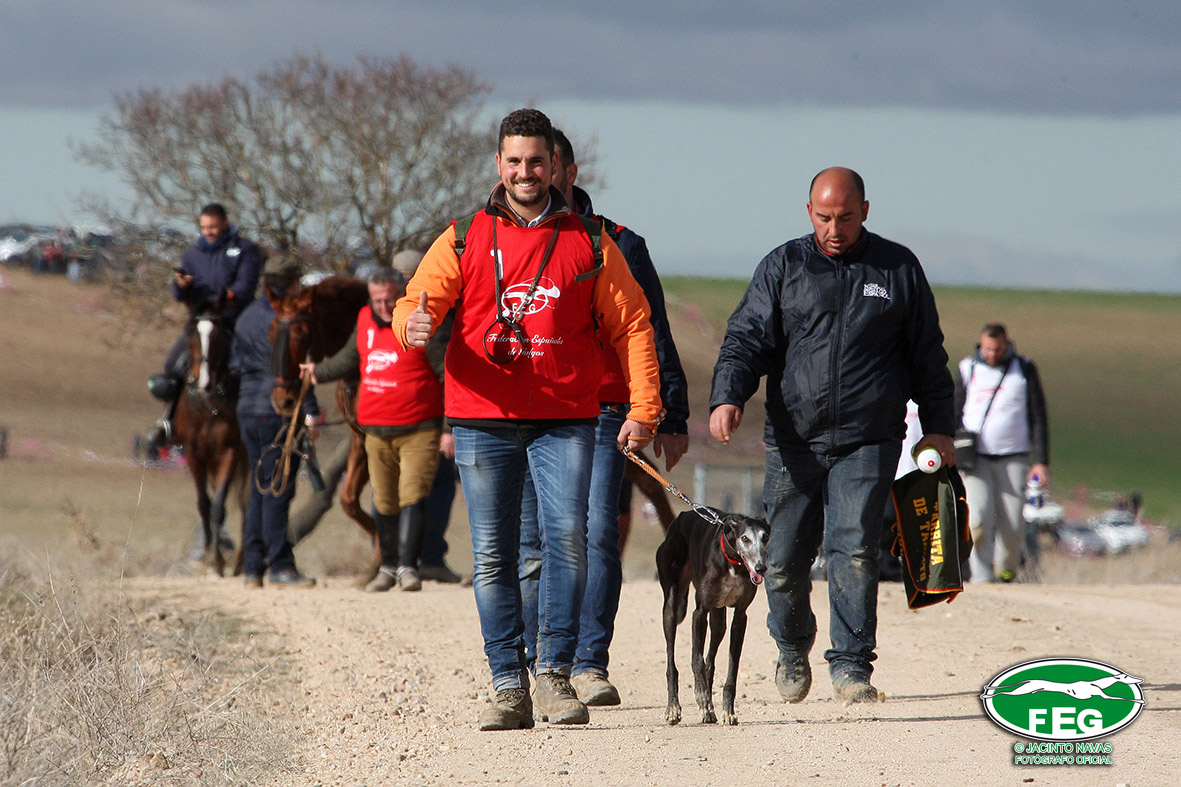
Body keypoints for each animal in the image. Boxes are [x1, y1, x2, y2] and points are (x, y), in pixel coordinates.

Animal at [172, 297, 245, 574]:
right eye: (190, 334)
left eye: (219, 336)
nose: (204, 382)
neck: (208, 405)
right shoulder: (194, 456)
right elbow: (204, 504)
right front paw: (209, 555)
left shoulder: (230, 452)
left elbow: (218, 507)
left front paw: (217, 559)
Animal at [266, 275, 377, 581]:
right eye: (270, 334)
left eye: (302, 335)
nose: (283, 400)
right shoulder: (361, 439)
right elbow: (349, 501)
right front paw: (377, 562)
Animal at [661, 508, 770, 723]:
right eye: (745, 538)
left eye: (765, 538)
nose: (760, 568)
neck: (733, 563)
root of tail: (682, 515)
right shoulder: (700, 612)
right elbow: (696, 660)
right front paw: (702, 698)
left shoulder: (740, 616)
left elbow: (732, 668)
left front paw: (727, 711)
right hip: (671, 606)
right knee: (672, 663)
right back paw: (673, 708)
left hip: (719, 617)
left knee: (710, 661)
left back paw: (709, 709)